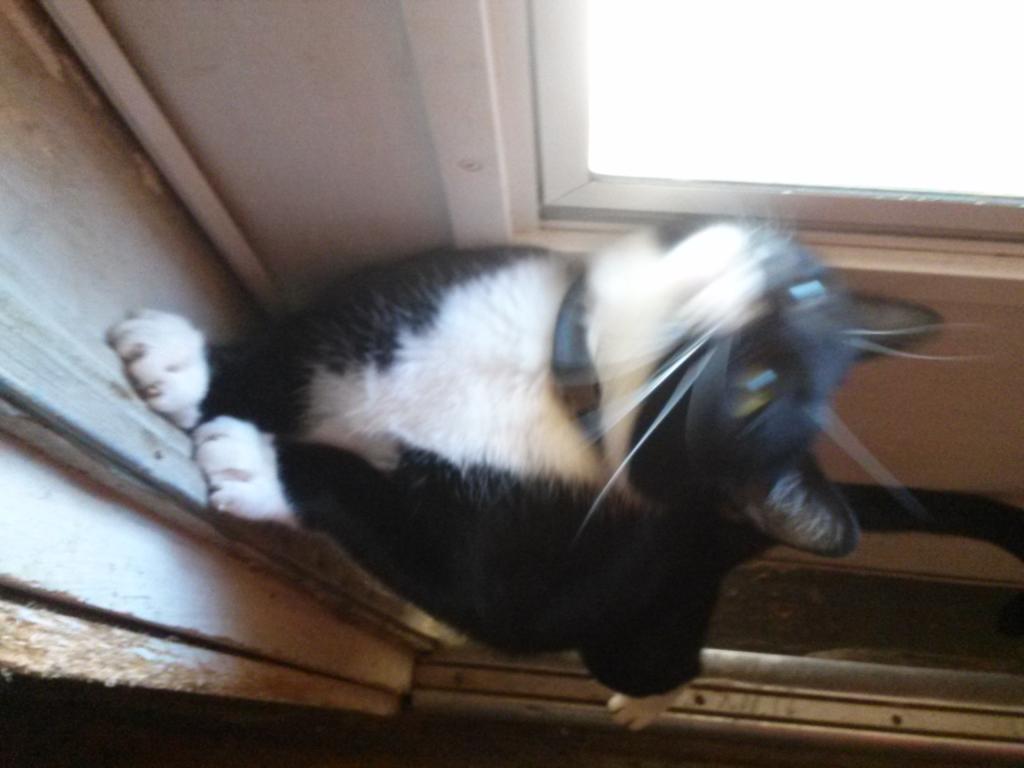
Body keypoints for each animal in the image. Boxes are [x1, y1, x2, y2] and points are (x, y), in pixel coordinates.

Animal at [109, 224, 1023, 729]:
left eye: (758, 389)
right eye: (803, 288)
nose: (765, 285)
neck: (547, 376)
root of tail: (723, 528)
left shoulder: (511, 559)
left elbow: (405, 535)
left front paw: (260, 463)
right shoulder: (385, 303)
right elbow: (287, 350)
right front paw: (185, 360)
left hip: (640, 614)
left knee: (670, 663)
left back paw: (643, 705)